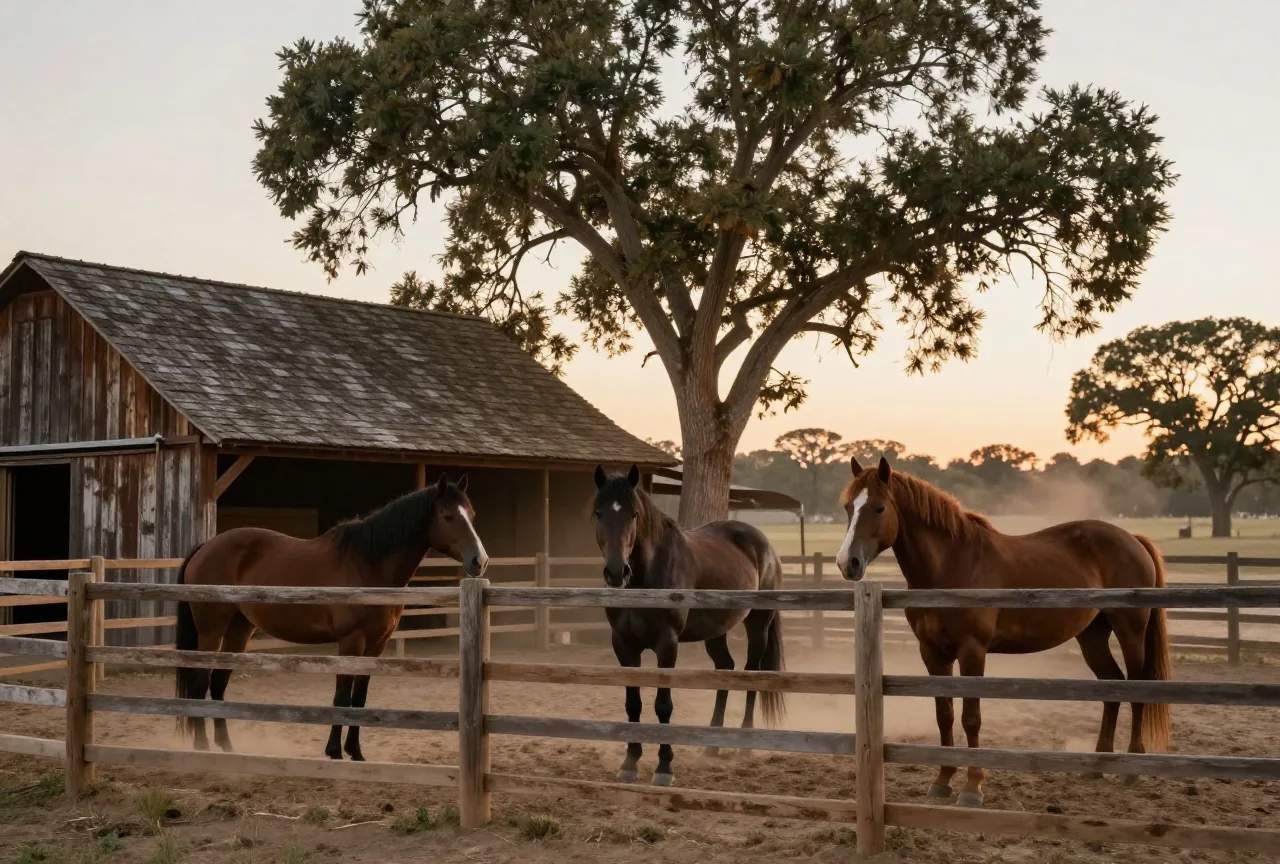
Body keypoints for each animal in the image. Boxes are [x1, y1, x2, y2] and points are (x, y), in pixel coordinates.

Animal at [173, 473, 488, 761]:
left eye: (472, 515)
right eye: (448, 516)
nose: (480, 561)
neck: (367, 566)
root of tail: (206, 547)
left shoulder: (376, 646)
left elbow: (359, 699)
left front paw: (356, 752)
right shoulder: (350, 642)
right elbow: (342, 696)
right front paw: (335, 751)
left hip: (239, 629)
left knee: (218, 683)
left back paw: (226, 746)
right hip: (212, 630)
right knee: (199, 682)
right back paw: (201, 746)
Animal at [591, 464, 786, 787]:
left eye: (633, 514)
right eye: (599, 513)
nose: (617, 572)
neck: (648, 574)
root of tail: (764, 544)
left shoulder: (667, 644)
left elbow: (663, 705)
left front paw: (664, 768)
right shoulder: (623, 644)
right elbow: (633, 703)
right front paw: (630, 763)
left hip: (758, 624)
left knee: (751, 674)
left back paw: (744, 743)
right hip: (716, 632)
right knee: (726, 670)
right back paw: (712, 745)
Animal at [835, 456, 1172, 808]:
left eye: (879, 508)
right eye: (848, 507)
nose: (848, 563)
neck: (953, 566)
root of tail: (1133, 539)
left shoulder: (972, 650)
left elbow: (971, 717)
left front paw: (973, 787)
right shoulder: (933, 653)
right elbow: (944, 714)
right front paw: (942, 780)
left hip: (1130, 630)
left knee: (1137, 688)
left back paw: (1131, 768)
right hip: (1092, 636)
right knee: (1111, 685)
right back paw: (1098, 766)